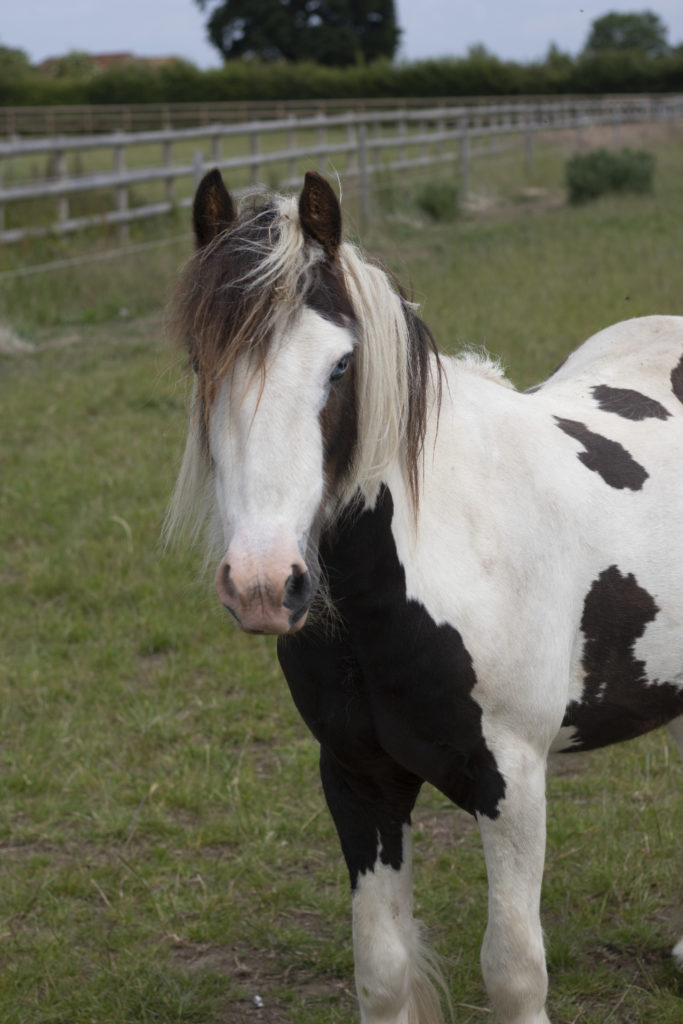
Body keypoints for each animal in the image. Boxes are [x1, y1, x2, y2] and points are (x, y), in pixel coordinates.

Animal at [166, 169, 683, 1024]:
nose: (264, 584)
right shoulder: (357, 778)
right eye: (202, 363)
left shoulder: (512, 781)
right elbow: (381, 969)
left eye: (341, 367)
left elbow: (513, 971)